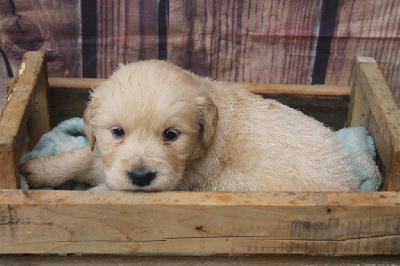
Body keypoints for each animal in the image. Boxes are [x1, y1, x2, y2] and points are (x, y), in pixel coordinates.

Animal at [19, 60, 360, 191]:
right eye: (117, 132)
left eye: (171, 135)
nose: (140, 177)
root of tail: (350, 178)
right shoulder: (108, 157)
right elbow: (84, 157)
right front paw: (37, 169)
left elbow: (102, 190)